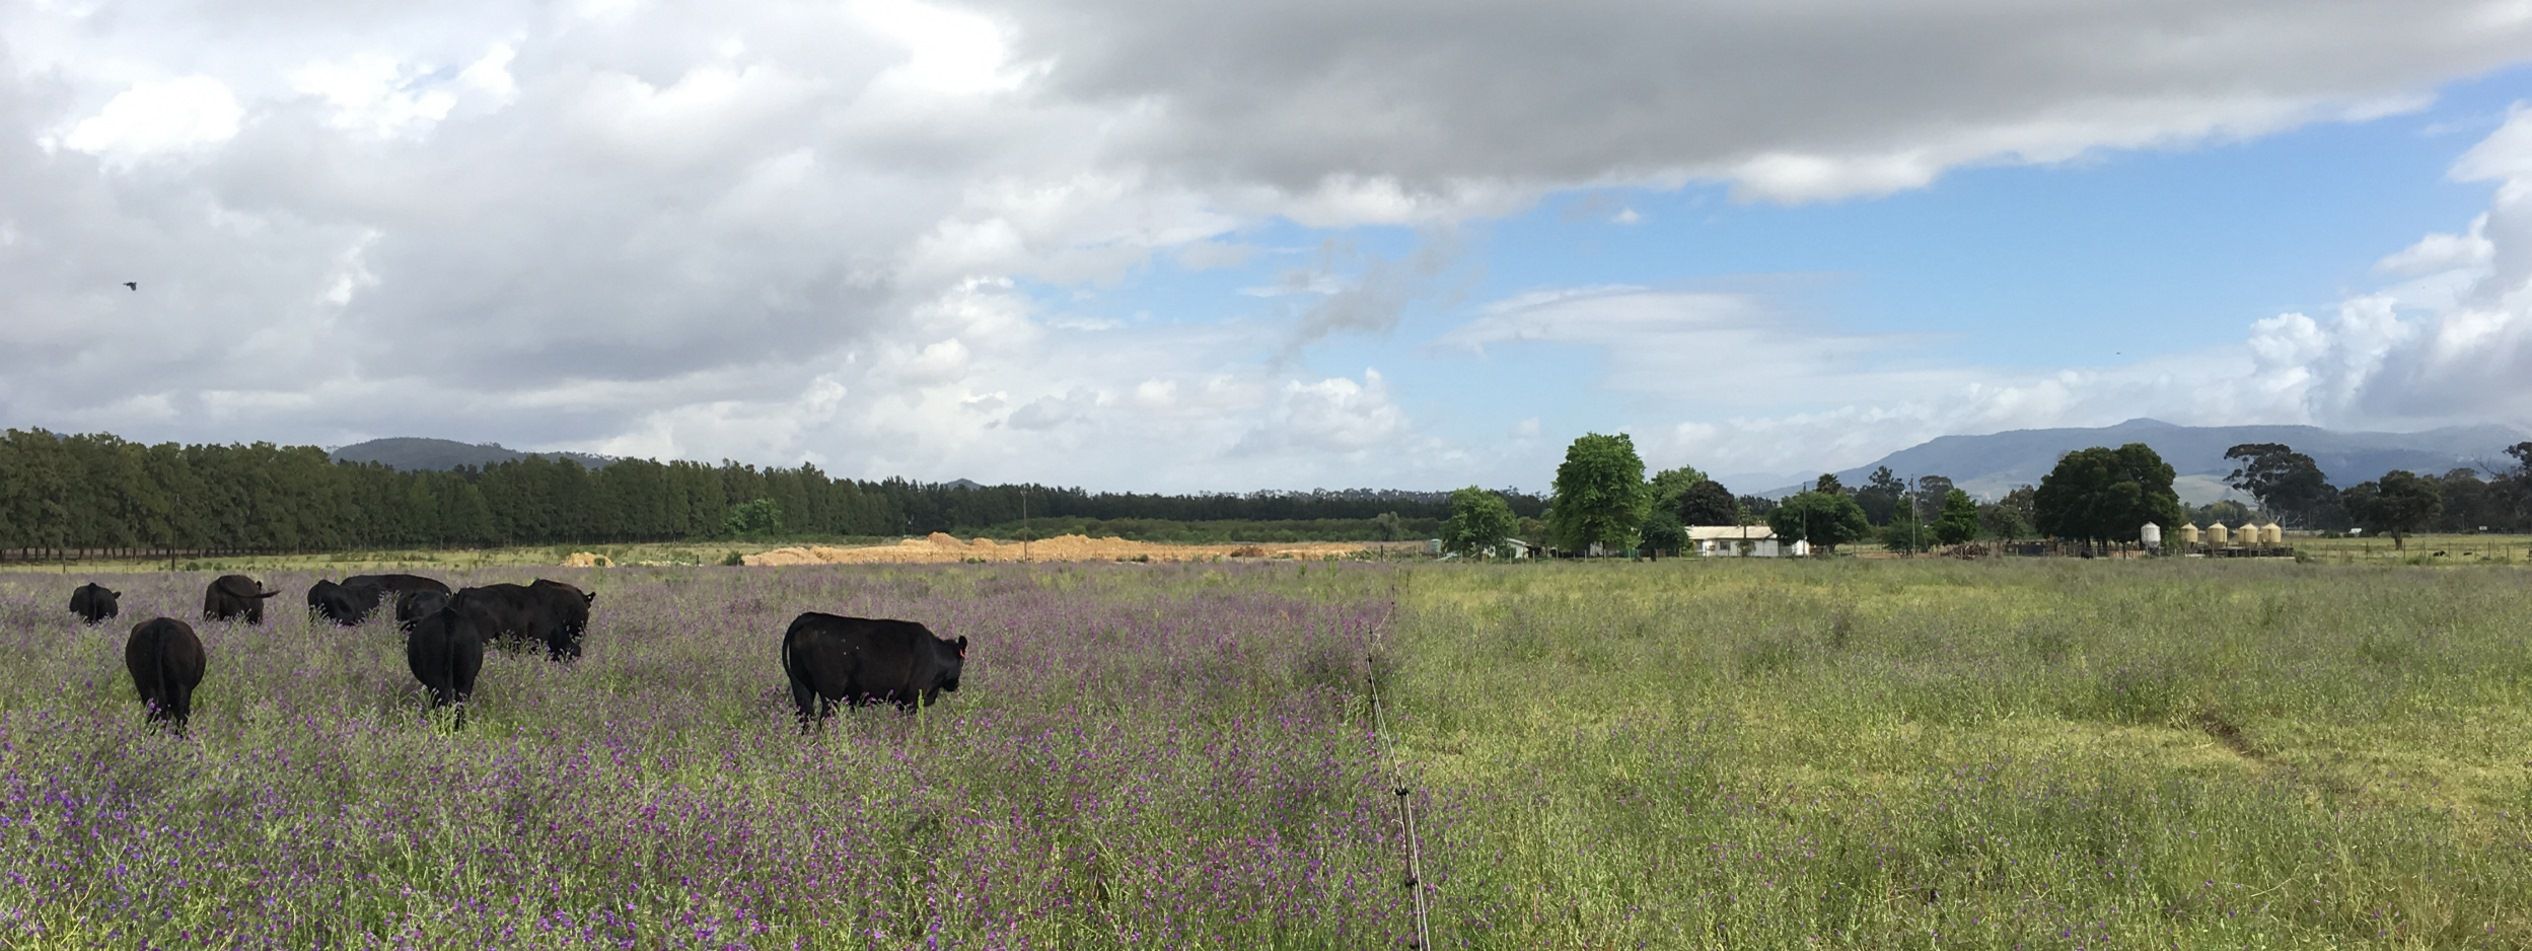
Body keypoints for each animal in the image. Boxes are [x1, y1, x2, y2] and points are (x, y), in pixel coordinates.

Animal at [774, 612, 962, 733]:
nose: (956, 685)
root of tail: (810, 616)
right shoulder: (913, 698)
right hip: (831, 693)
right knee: (825, 720)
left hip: (801, 684)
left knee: (805, 718)